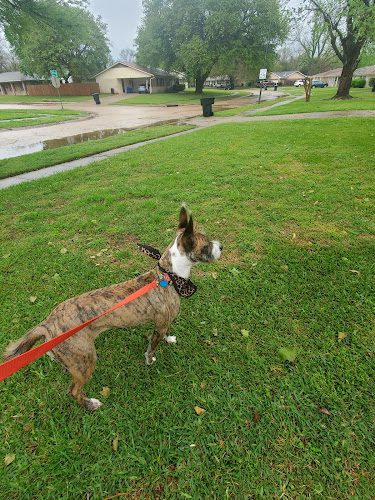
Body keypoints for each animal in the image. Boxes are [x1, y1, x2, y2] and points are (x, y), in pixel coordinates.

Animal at [4, 207, 222, 410]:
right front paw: (150, 360)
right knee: (73, 390)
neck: (169, 276)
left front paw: (169, 339)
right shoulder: (160, 324)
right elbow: (152, 346)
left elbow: (165, 333)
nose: (221, 246)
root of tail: (48, 323)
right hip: (86, 360)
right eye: (206, 244)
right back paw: (90, 404)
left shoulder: (162, 323)